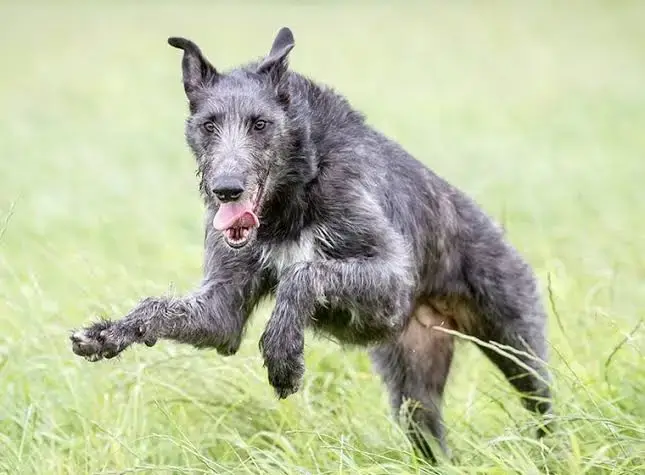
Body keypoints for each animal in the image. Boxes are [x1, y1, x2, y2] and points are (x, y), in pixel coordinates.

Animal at [71, 27, 552, 464]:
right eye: (208, 124)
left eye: (260, 123)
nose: (226, 189)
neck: (293, 196)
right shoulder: (223, 306)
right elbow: (168, 310)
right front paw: (108, 333)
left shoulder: (393, 284)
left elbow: (304, 274)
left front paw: (283, 355)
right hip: (413, 384)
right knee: (430, 435)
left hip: (515, 338)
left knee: (542, 405)